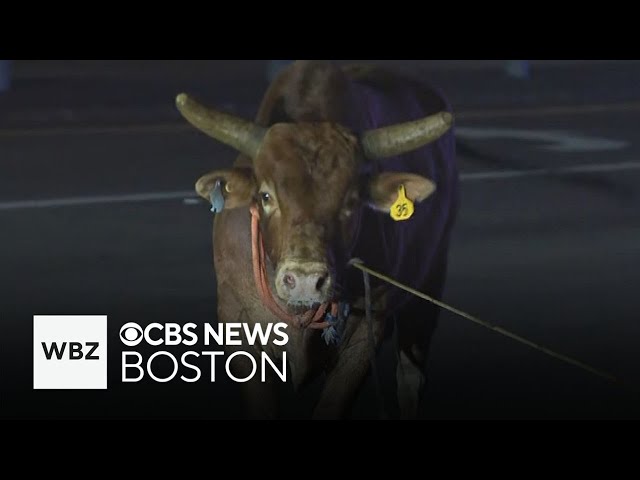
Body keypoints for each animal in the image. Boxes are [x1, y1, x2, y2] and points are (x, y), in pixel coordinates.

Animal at [175, 61, 460, 420]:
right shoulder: (237, 320)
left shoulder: (365, 333)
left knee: (410, 377)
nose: (305, 280)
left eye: (352, 201)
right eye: (266, 196)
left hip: (431, 281)